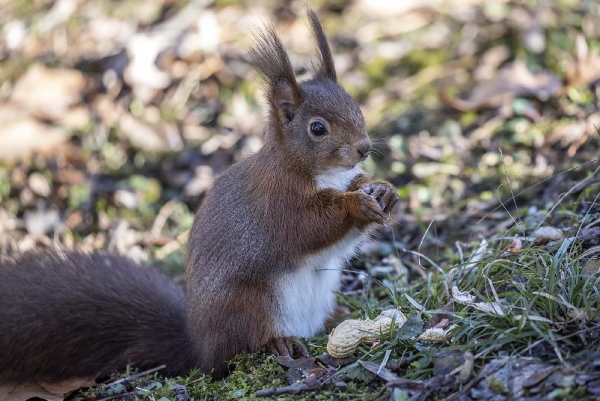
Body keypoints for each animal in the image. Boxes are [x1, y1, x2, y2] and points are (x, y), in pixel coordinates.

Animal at [1, 8, 404, 382]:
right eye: (317, 129)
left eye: (356, 106)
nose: (364, 149)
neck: (322, 173)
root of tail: (199, 346)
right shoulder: (278, 203)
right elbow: (311, 225)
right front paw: (356, 205)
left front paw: (383, 191)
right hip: (249, 303)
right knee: (242, 345)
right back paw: (279, 342)